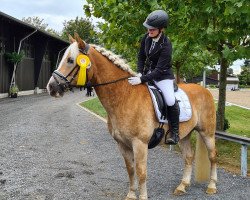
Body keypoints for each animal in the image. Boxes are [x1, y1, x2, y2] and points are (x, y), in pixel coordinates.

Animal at [46, 33, 217, 199]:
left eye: (70, 60)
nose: (51, 87)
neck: (125, 96)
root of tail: (206, 90)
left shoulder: (139, 143)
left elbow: (141, 172)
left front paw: (142, 196)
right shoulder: (122, 144)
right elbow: (130, 170)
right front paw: (131, 195)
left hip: (207, 133)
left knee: (213, 156)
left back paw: (212, 186)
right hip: (184, 135)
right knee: (188, 157)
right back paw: (182, 186)